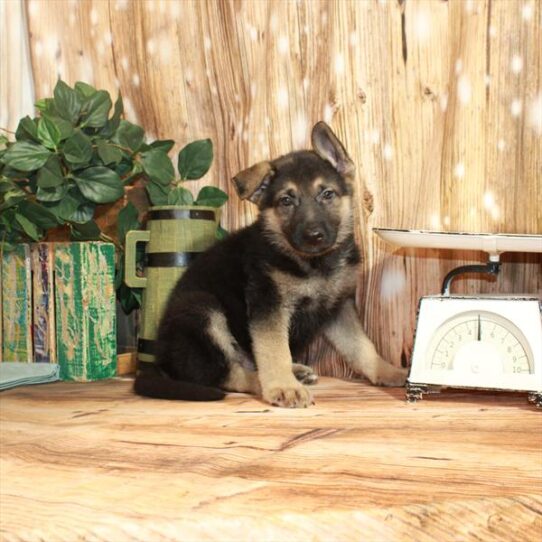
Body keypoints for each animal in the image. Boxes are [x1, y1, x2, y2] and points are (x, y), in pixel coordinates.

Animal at [135, 123, 408, 410]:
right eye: (286, 201)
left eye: (327, 194)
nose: (314, 236)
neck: (314, 265)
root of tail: (162, 363)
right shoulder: (269, 305)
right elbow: (274, 349)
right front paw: (284, 387)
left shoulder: (339, 307)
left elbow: (362, 346)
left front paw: (386, 371)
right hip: (201, 309)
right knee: (222, 373)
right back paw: (269, 381)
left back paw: (296, 371)